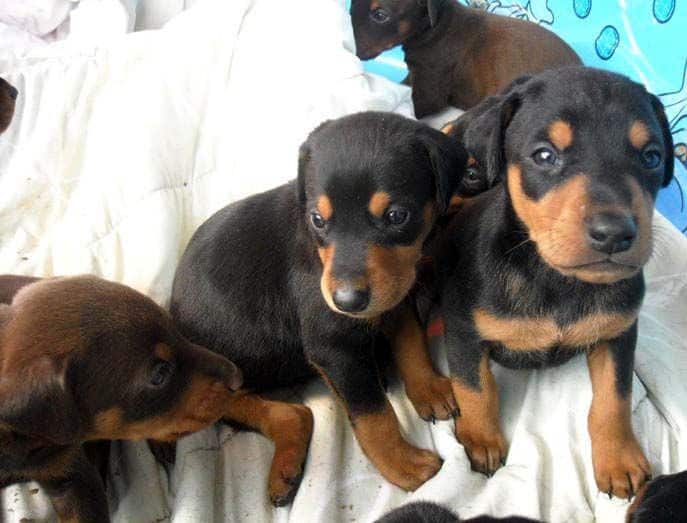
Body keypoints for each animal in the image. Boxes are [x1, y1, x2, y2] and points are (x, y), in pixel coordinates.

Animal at [171, 110, 468, 504]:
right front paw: (403, 466)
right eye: (317, 219)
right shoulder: (334, 348)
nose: (346, 302)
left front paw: (428, 389)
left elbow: (411, 343)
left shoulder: (396, 292)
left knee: (296, 413)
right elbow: (373, 413)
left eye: (396, 216)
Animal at [422, 67, 676, 502]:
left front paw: (619, 460)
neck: (557, 279)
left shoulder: (619, 333)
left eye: (652, 157)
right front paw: (480, 441)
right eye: (544, 155)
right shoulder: (464, 330)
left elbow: (615, 397)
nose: (614, 233)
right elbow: (475, 388)